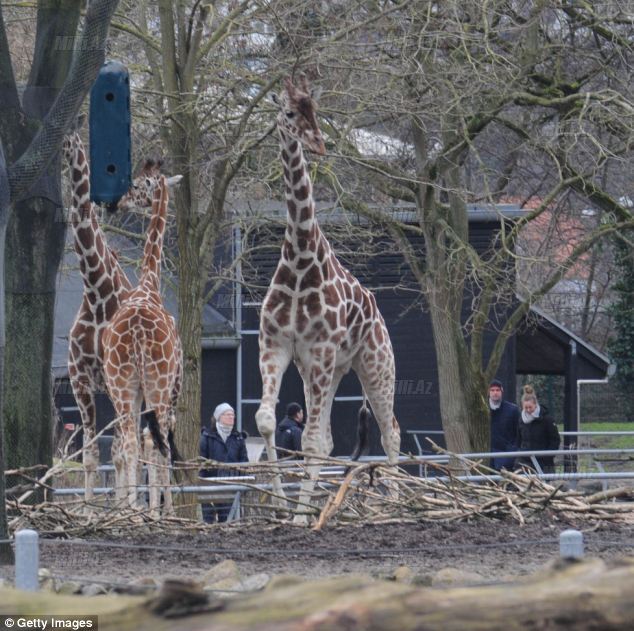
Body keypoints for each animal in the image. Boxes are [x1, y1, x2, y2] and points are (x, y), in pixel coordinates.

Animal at [63, 133, 180, 508]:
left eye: (139, 184)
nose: (117, 202)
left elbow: (114, 452)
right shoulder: (81, 380)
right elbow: (93, 454)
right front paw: (94, 510)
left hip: (146, 387)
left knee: (142, 443)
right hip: (144, 387)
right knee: (146, 442)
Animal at [253, 78, 398, 524]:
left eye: (316, 112)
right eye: (289, 113)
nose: (318, 143)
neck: (300, 260)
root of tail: (378, 313)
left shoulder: (318, 351)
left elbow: (312, 442)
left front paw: (301, 517)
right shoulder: (277, 345)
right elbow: (266, 421)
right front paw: (283, 506)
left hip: (376, 365)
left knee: (391, 432)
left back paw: (396, 505)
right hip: (329, 370)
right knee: (336, 437)